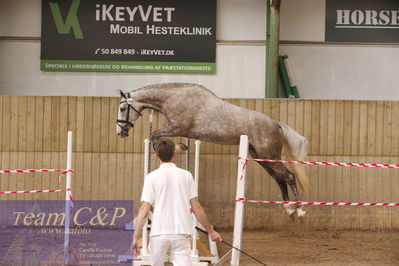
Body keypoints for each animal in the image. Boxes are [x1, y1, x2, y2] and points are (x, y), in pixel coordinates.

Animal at [115, 82, 310, 216]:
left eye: (123, 108)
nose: (120, 132)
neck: (174, 98)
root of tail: (276, 124)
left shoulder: (177, 128)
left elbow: (155, 135)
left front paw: (177, 148)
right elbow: (155, 136)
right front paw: (178, 147)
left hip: (268, 154)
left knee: (289, 176)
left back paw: (299, 210)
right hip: (260, 156)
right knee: (279, 178)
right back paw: (288, 209)